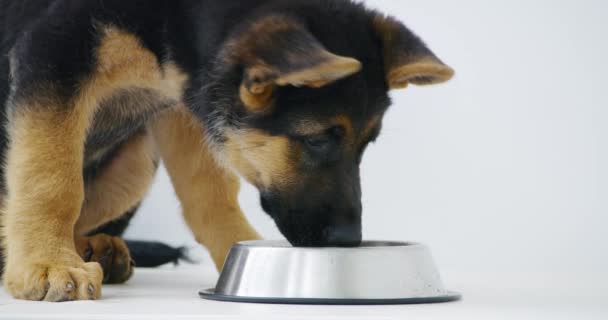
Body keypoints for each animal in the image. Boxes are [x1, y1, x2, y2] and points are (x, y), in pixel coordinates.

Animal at [0, 0, 454, 302]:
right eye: (317, 139)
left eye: (367, 143)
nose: (348, 241)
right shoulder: (56, 53)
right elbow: (51, 179)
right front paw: (49, 263)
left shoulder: (187, 99)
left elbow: (210, 191)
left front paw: (240, 249)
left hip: (136, 162)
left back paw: (98, 248)